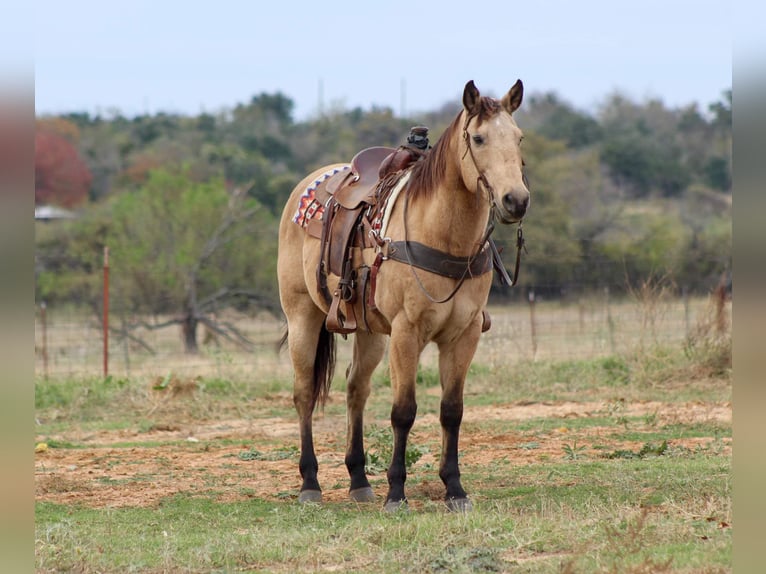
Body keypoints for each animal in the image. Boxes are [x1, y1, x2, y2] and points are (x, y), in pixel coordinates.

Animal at [277, 80, 529, 512]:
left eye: (518, 137)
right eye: (478, 138)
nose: (516, 200)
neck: (443, 236)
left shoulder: (463, 336)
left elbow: (451, 411)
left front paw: (455, 489)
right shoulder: (407, 333)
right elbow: (404, 411)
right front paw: (396, 492)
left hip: (369, 333)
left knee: (355, 391)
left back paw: (359, 480)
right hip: (302, 318)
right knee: (305, 393)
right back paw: (310, 483)